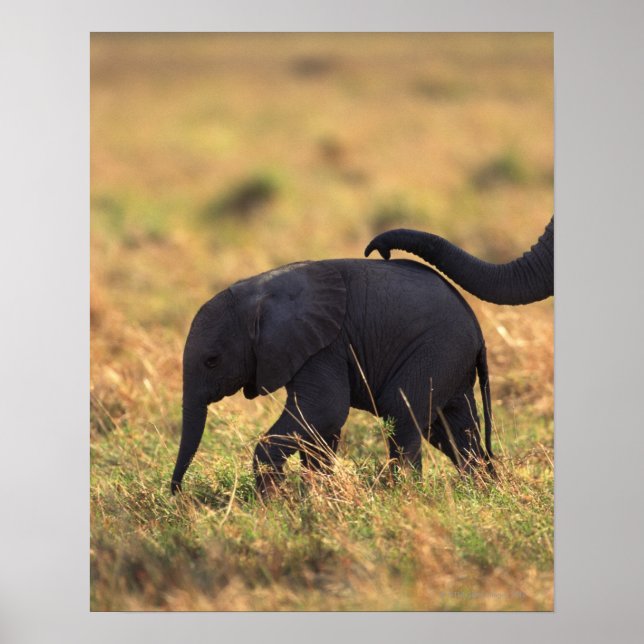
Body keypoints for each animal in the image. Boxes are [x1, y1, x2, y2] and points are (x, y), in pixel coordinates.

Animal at [171, 258, 494, 496]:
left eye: (212, 361)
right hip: (450, 361)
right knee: (453, 428)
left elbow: (324, 411)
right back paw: (480, 489)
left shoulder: (325, 345)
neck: (259, 297)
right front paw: (317, 496)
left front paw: (274, 500)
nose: (177, 493)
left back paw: (405, 494)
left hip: (437, 350)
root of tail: (477, 330)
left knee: (402, 414)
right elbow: (320, 426)